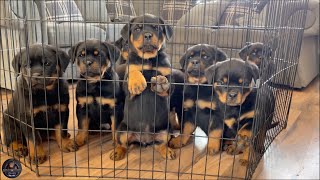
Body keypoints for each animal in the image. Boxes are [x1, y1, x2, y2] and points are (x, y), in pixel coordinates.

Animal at [109, 13, 176, 160]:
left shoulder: (168, 74)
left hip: (165, 130)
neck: (148, 59)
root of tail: (144, 140)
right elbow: (134, 71)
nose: (148, 35)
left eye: (156, 27)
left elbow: (168, 82)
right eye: (137, 29)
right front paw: (137, 83)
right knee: (123, 144)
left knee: (160, 144)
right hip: (122, 130)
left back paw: (167, 151)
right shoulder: (129, 76)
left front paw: (161, 82)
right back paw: (117, 152)